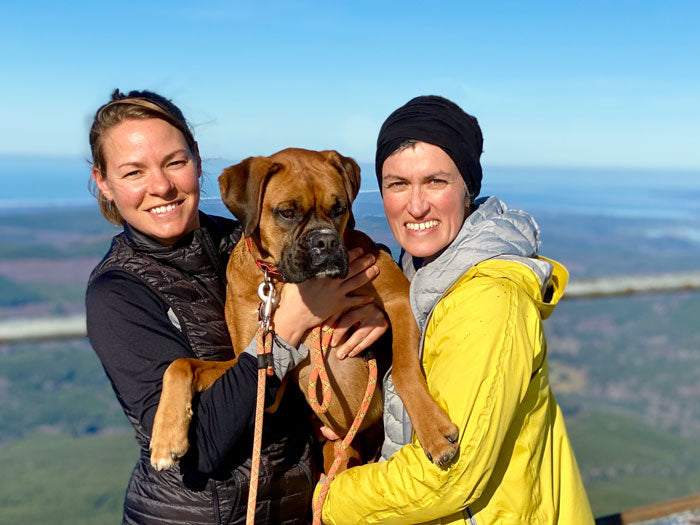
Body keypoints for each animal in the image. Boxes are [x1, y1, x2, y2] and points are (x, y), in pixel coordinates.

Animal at [149, 147, 460, 470]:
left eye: (339, 209)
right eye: (287, 212)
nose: (325, 241)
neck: (283, 282)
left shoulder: (398, 299)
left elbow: (403, 369)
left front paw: (433, 431)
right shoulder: (261, 374)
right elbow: (180, 364)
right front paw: (166, 437)